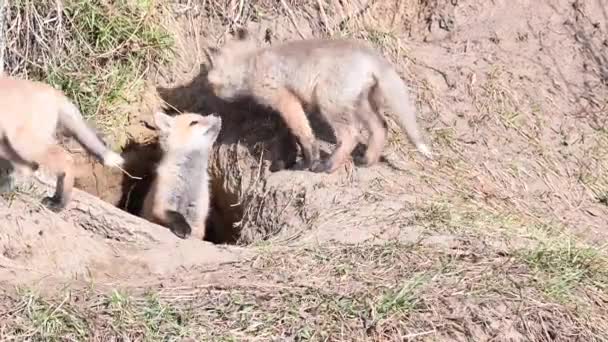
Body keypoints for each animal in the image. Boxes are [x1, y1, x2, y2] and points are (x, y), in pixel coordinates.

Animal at [0, 77, 123, 211]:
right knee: (28, 168)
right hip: (10, 145)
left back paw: (59, 203)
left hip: (24, 144)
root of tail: (53, 91)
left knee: (65, 160)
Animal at [208, 28, 432, 174]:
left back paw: (328, 166)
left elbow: (305, 135)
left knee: (351, 135)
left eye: (212, 84)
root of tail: (370, 55)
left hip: (330, 103)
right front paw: (286, 161)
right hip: (360, 104)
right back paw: (367, 160)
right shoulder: (297, 102)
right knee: (381, 127)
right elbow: (290, 135)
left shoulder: (284, 100)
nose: (215, 95)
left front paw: (308, 161)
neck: (252, 62)